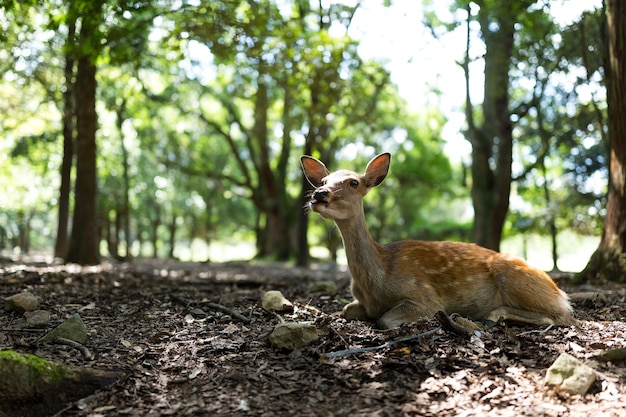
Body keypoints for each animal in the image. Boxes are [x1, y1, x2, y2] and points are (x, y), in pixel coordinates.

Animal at [300, 152, 572, 328]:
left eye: (353, 182)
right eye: (323, 181)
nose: (318, 194)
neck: (375, 282)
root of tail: (560, 292)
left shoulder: (426, 297)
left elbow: (385, 320)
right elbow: (346, 309)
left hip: (517, 279)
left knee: (563, 316)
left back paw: (489, 316)